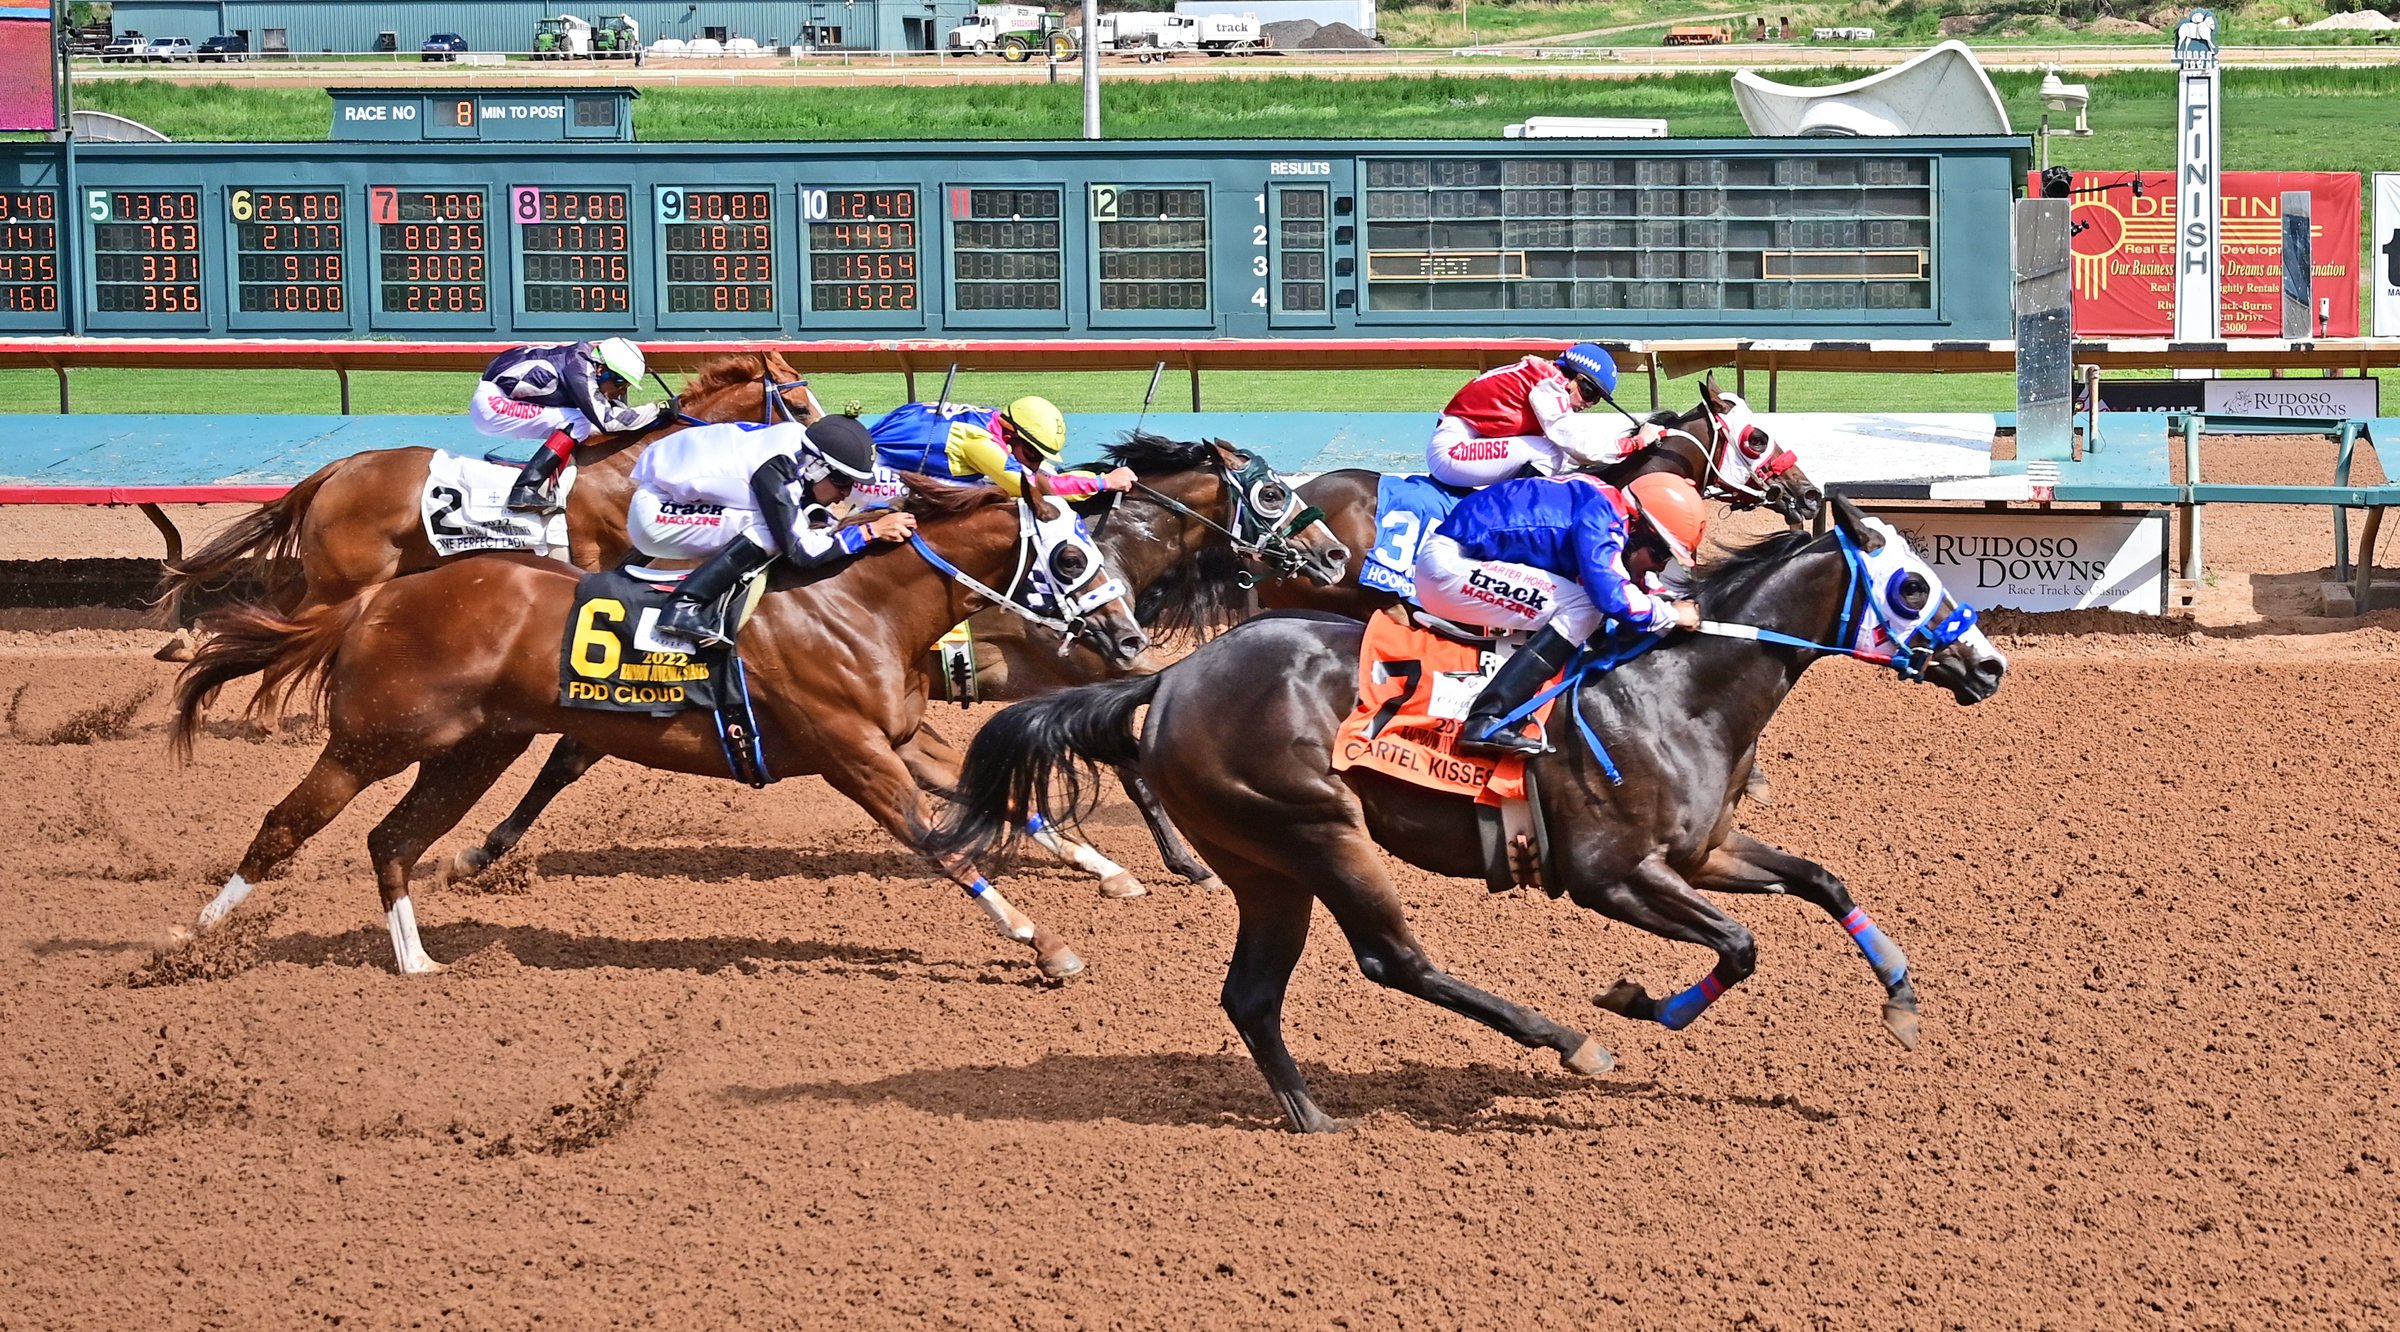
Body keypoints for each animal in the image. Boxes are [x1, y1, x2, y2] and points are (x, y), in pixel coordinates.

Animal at [159, 352, 820, 628]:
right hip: (342, 578)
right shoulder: (593, 557)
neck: (631, 462)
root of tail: (341, 467)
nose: (826, 434)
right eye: (799, 401)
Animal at [174, 477, 1147, 979]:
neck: (856, 604)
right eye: (1070, 555)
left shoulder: (902, 739)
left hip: (475, 747)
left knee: (393, 840)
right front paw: (1045, 944)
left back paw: (419, 964)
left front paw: (1111, 873)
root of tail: (378, 598)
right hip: (373, 738)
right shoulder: (852, 755)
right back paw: (184, 939)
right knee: (288, 825)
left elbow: (1012, 809)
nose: (1135, 639)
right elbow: (940, 844)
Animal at [931, 499, 2006, 1137]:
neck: (1681, 689)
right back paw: (1566, 1039)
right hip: (1318, 831)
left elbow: (1822, 880)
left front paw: (1902, 999)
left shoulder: (1703, 851)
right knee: (1392, 960)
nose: (1990, 665)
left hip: (1265, 864)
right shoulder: (1611, 875)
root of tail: (1173, 676)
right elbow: (1740, 946)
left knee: (1252, 994)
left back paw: (1313, 1117)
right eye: (1913, 584)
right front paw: (1635, 1005)